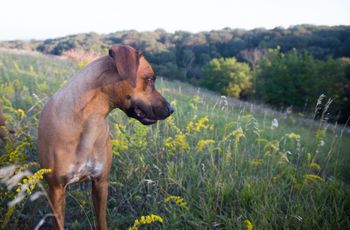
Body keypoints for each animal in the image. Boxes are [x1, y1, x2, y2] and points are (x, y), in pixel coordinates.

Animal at [38, 44, 174, 229]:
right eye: (150, 79)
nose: (171, 109)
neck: (89, 121)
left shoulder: (100, 183)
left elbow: (101, 221)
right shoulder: (56, 189)